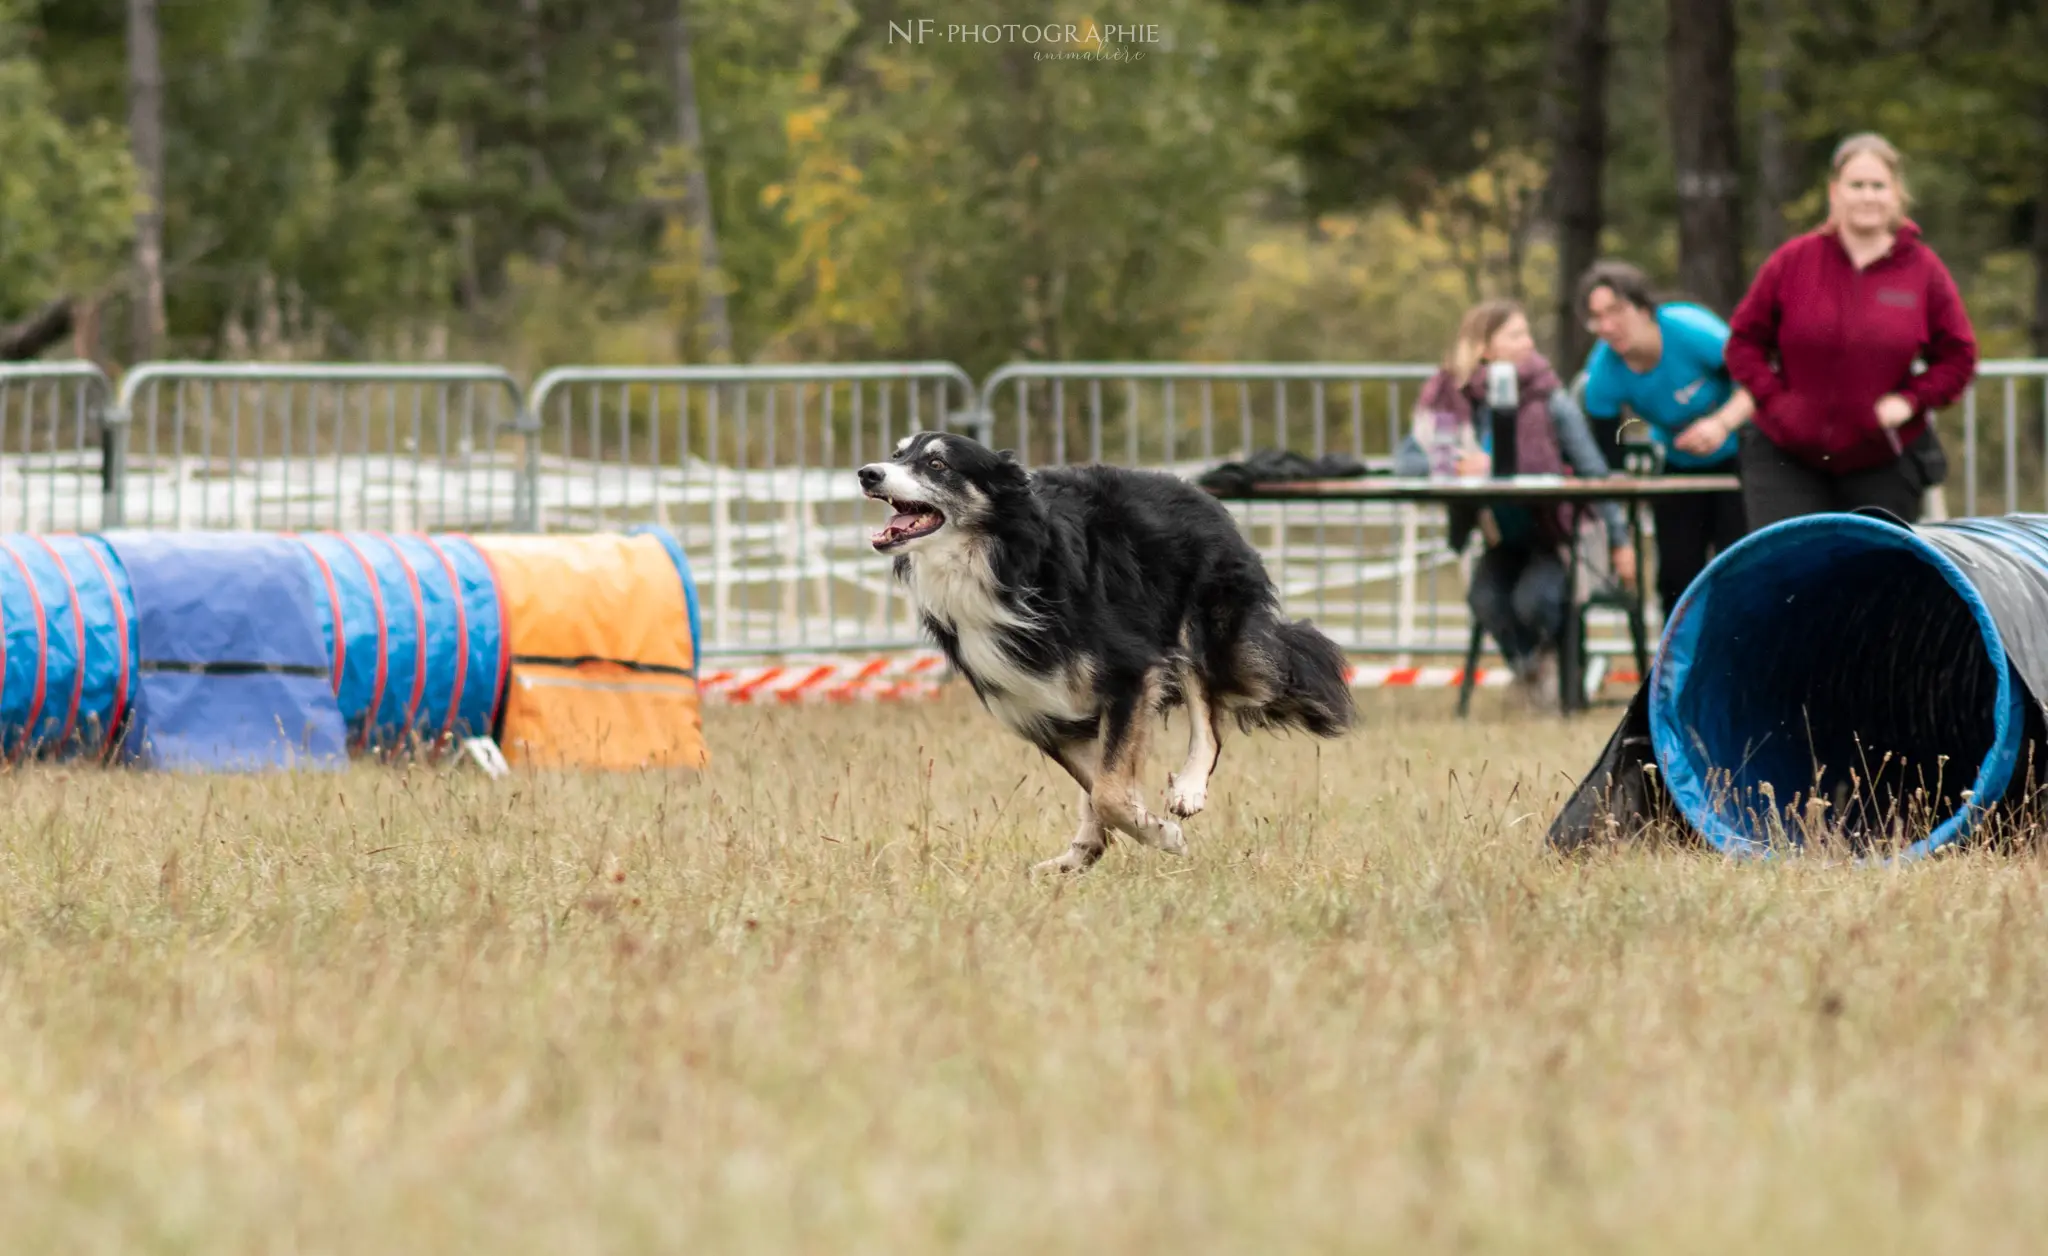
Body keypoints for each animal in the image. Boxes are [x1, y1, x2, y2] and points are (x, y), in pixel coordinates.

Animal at [860, 430, 1359, 872]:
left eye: (937, 464)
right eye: (897, 454)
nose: (867, 473)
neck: (998, 560)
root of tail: (1193, 488)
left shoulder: (1131, 673)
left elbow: (1109, 791)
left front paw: (1165, 835)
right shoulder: (1039, 710)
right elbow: (1101, 782)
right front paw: (1120, 836)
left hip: (1193, 627)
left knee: (1209, 717)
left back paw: (1188, 789)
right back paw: (1077, 854)